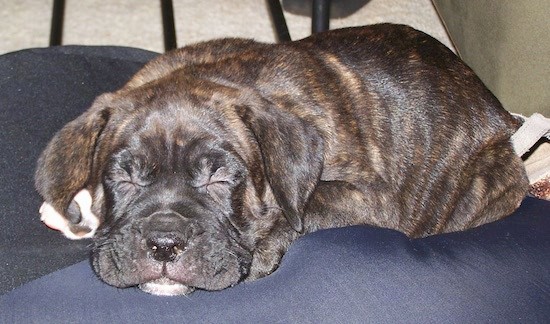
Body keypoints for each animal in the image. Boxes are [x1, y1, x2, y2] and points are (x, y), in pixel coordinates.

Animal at [34, 24, 532, 294]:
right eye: (124, 179)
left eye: (221, 181)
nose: (164, 242)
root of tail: (501, 116)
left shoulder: (371, 198)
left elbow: (306, 205)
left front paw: (267, 238)